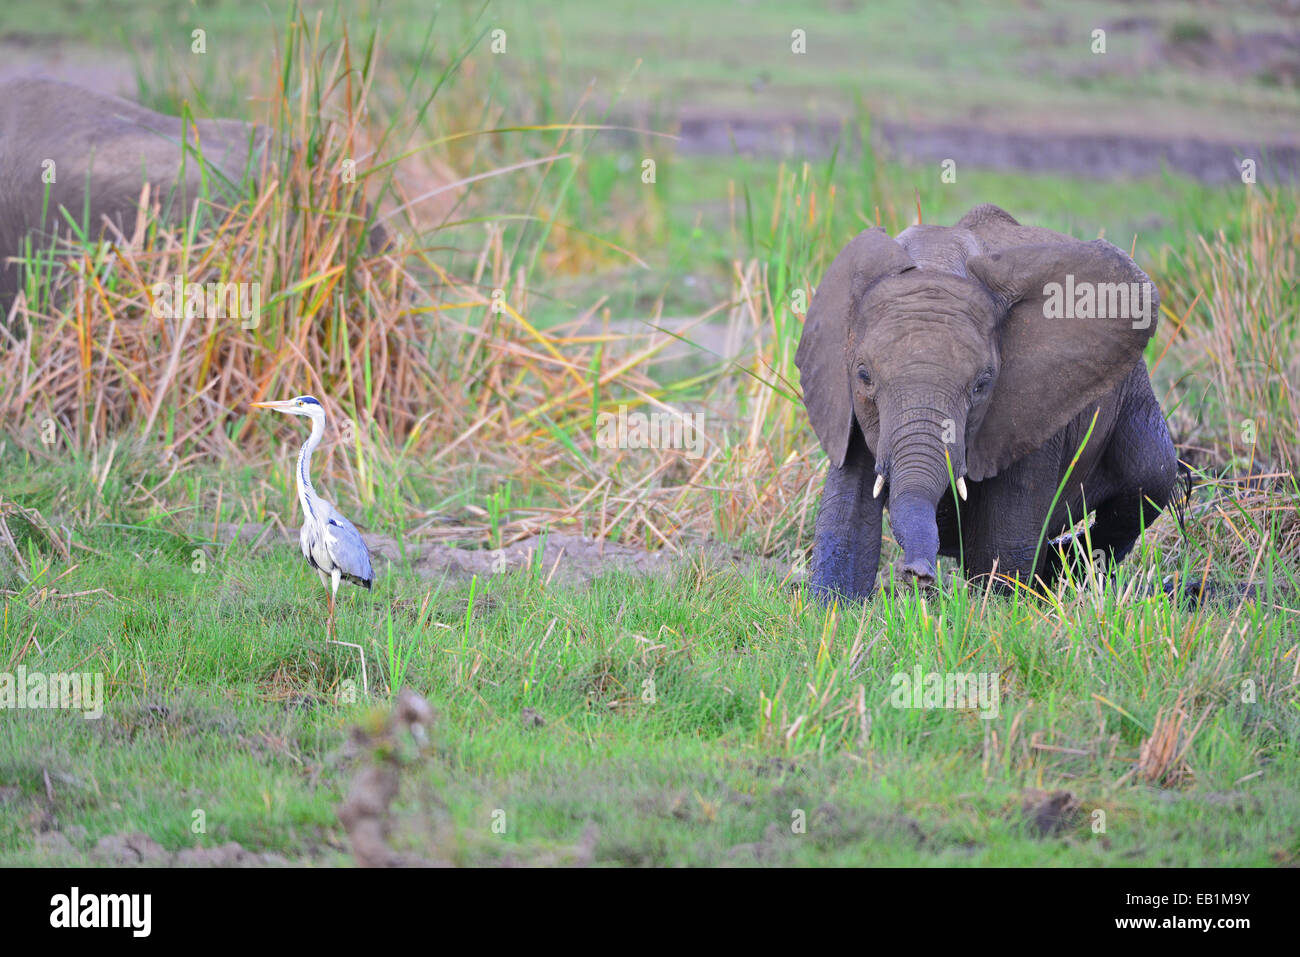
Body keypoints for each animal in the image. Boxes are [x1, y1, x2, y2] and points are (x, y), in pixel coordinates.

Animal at [795, 205, 1185, 600]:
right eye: (864, 375)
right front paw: (833, 605)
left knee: (1149, 477)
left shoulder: (1031, 404)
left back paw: (1058, 570)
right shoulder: (845, 403)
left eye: (982, 385)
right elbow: (848, 520)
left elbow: (1004, 543)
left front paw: (997, 605)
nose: (917, 574)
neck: (937, 258)